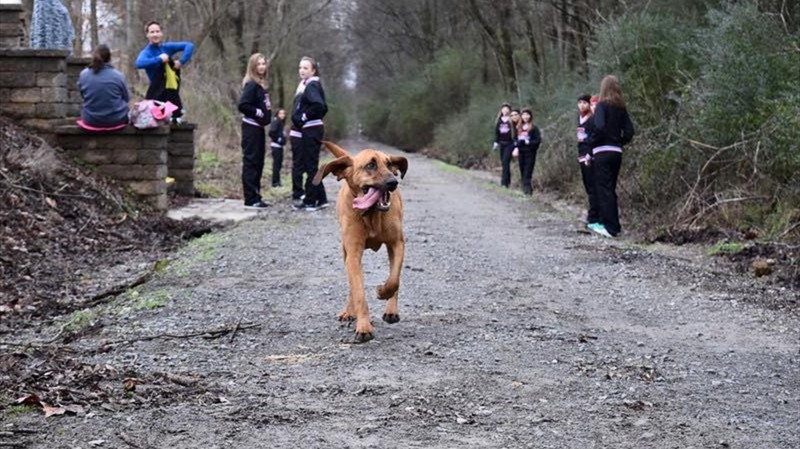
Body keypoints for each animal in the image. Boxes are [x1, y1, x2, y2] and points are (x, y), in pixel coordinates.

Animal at [312, 142, 410, 342]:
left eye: (389, 164)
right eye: (370, 165)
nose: (393, 182)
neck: (371, 214)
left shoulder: (397, 244)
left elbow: (394, 280)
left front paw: (382, 292)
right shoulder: (353, 254)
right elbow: (358, 292)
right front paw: (363, 327)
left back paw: (391, 311)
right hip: (345, 252)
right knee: (352, 285)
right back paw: (349, 312)